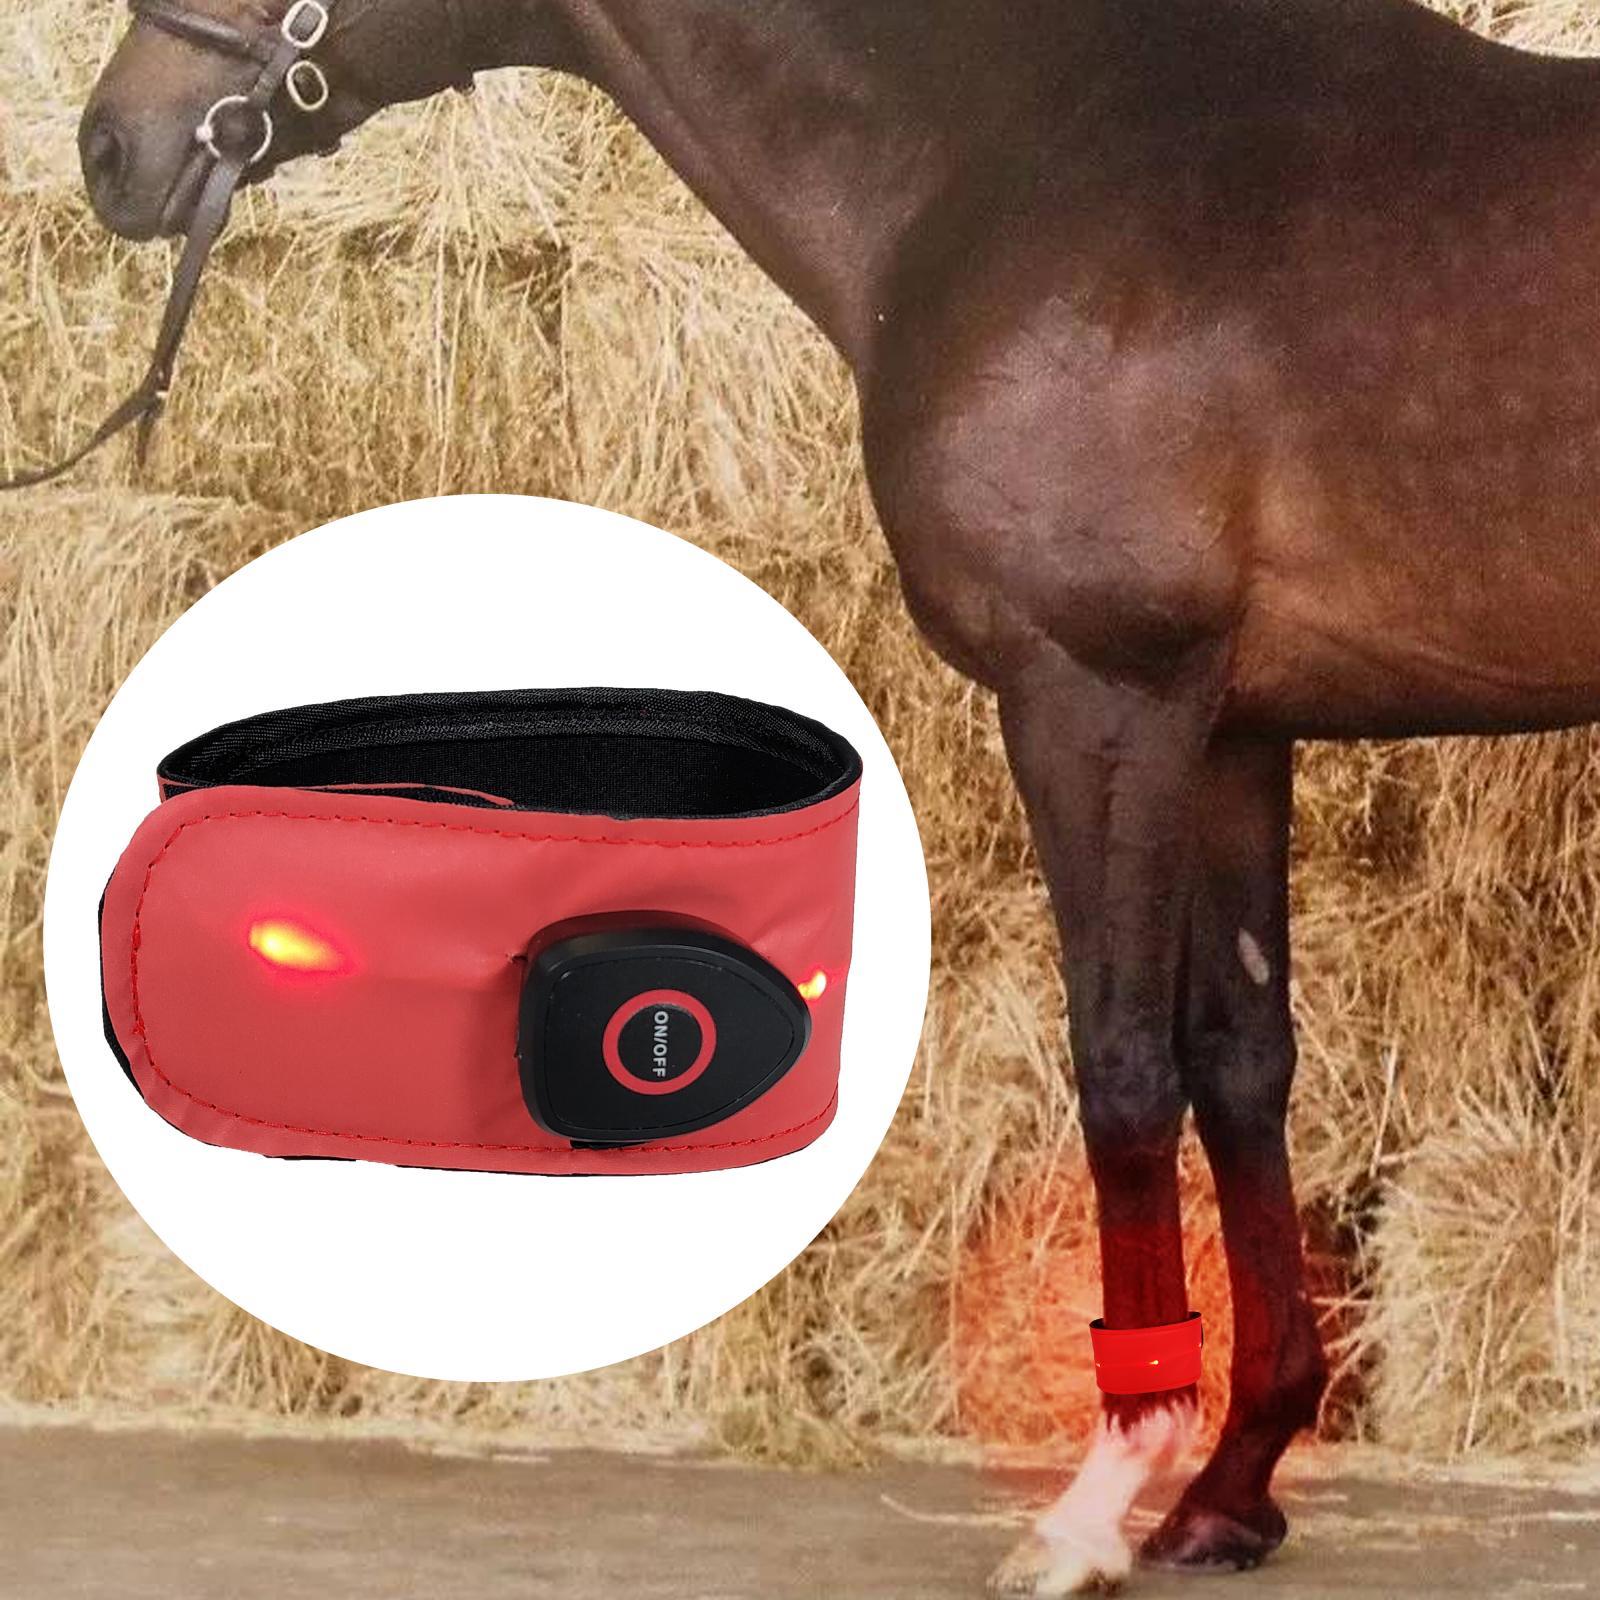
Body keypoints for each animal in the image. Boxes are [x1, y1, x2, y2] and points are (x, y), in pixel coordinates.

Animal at [74, 0, 1600, 1592]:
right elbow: (1240, 1067)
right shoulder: (1234, 729)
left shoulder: (1100, 698)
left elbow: (1123, 1069)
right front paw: (1231, 1490)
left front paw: (1097, 1502)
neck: (1016, 153)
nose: (109, 146)